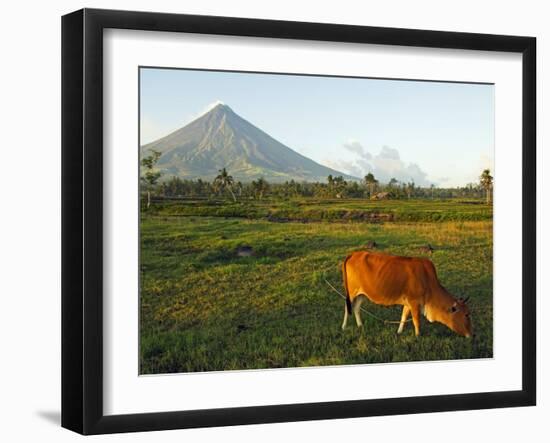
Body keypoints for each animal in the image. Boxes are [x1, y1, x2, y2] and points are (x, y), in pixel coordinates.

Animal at [340, 251, 474, 338]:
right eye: (466, 315)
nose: (471, 334)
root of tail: (353, 254)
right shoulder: (414, 303)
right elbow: (416, 320)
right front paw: (418, 336)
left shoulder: (408, 303)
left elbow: (403, 317)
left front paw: (399, 332)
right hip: (351, 293)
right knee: (347, 308)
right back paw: (344, 327)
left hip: (362, 294)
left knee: (356, 308)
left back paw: (360, 325)